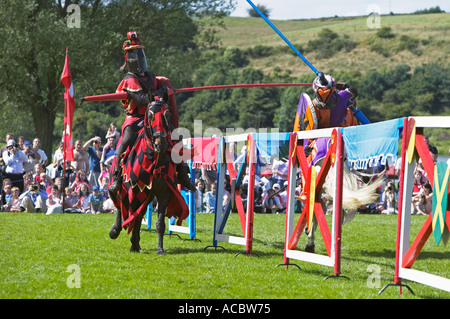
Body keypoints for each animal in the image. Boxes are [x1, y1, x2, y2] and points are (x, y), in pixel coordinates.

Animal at [108, 100, 189, 255]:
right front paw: (130, 241)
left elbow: (159, 223)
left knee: (138, 214)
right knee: (122, 207)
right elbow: (131, 215)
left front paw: (159, 249)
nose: (160, 144)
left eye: (167, 114)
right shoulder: (134, 191)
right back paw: (116, 231)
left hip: (147, 195)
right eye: (150, 115)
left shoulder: (164, 193)